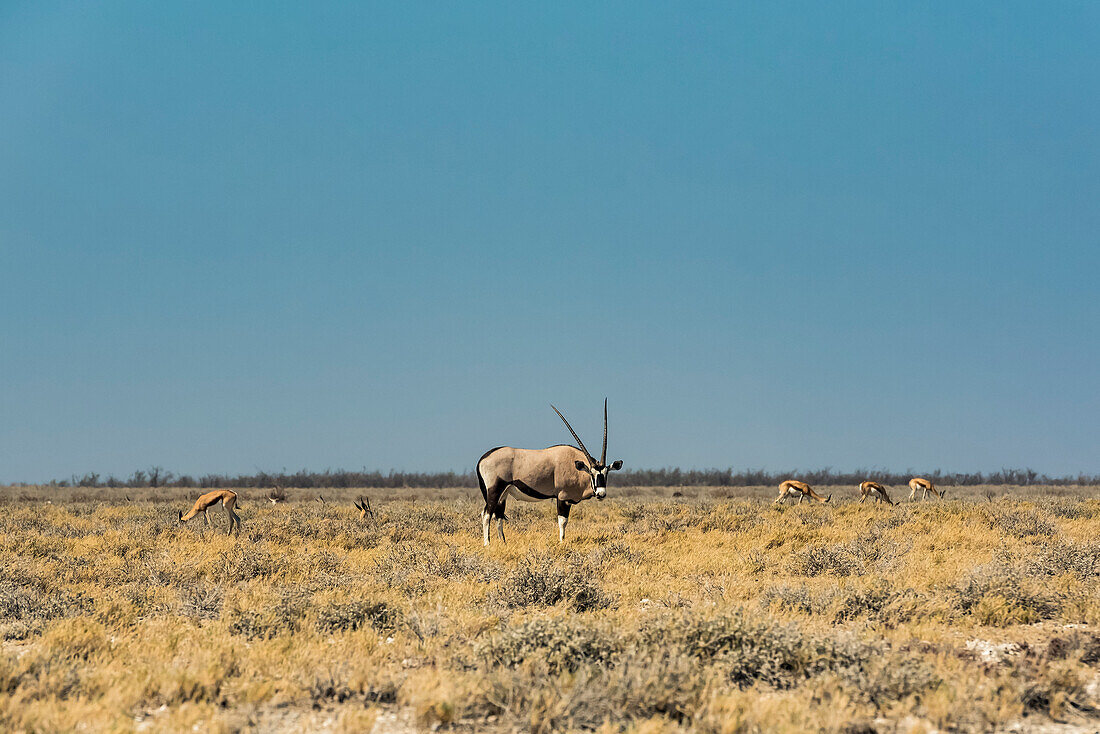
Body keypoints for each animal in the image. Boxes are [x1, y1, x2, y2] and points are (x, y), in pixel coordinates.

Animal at [477, 402, 624, 545]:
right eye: (591, 474)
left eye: (606, 473)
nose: (601, 494)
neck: (575, 466)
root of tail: (483, 458)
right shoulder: (563, 498)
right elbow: (562, 521)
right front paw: (561, 542)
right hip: (494, 490)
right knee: (486, 514)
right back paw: (487, 544)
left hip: (503, 494)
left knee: (498, 516)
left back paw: (503, 542)